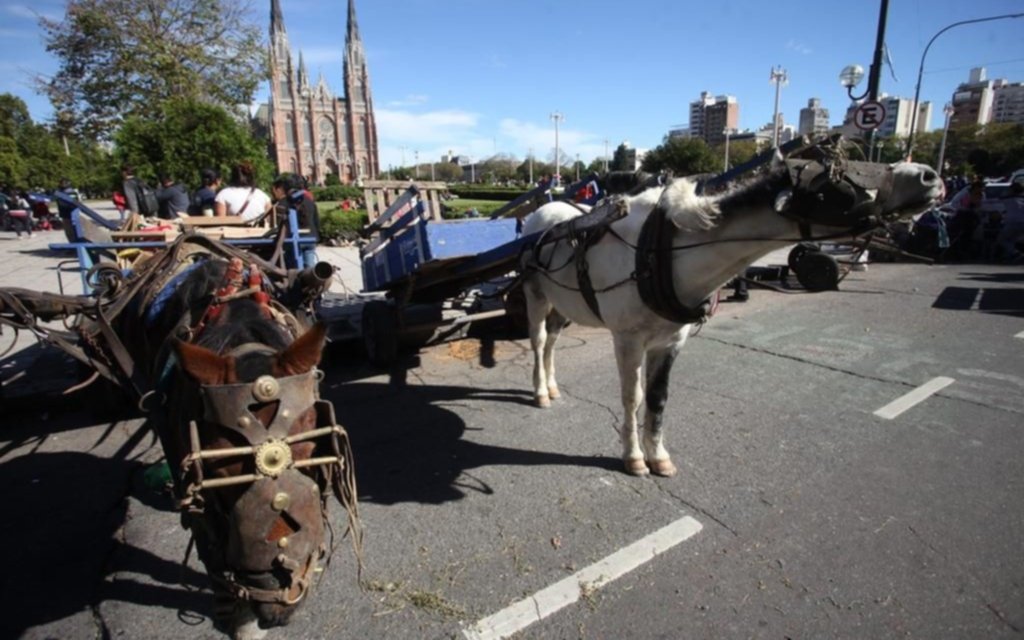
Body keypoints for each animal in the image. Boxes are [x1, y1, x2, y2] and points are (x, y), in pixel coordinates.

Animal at [524, 153, 937, 475]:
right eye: (838, 184)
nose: (929, 175)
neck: (660, 251)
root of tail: (542, 212)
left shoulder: (671, 340)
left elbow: (658, 398)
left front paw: (658, 456)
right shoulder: (628, 339)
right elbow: (633, 398)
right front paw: (634, 457)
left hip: (564, 304)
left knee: (554, 340)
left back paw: (553, 385)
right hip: (536, 295)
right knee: (540, 340)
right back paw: (541, 390)